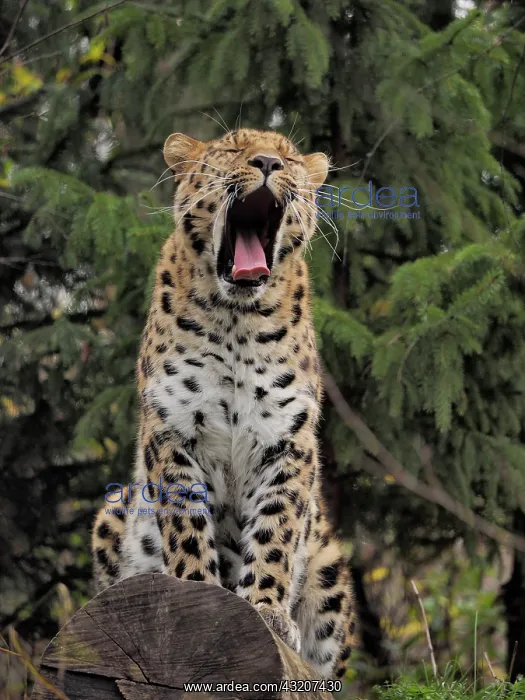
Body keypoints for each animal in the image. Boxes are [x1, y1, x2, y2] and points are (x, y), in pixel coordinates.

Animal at [91, 127, 357, 680]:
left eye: (290, 158)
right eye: (234, 148)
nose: (268, 163)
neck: (237, 319)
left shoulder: (288, 440)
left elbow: (276, 530)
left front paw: (266, 610)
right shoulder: (172, 430)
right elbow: (187, 526)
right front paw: (197, 594)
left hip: (330, 573)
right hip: (114, 507)